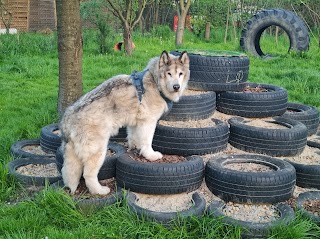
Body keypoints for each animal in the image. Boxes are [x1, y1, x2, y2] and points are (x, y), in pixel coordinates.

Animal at [59, 50, 189, 194]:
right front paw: (150, 155)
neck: (155, 82)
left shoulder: (135, 123)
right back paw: (100, 191)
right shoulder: (148, 122)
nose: (176, 87)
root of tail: (68, 116)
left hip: (73, 156)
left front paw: (136, 148)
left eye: (180, 74)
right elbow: (147, 142)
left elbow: (134, 138)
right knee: (88, 174)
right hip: (98, 150)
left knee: (67, 171)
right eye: (169, 73)